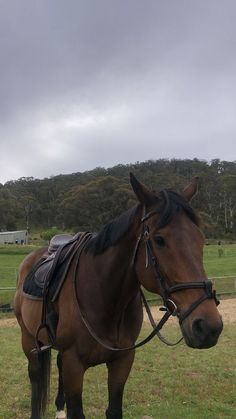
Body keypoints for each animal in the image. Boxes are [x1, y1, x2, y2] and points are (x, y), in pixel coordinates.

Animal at [14, 172, 223, 418]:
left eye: (200, 239)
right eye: (159, 240)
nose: (208, 326)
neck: (103, 296)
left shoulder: (122, 362)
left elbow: (114, 409)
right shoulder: (74, 364)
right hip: (29, 339)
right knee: (36, 377)